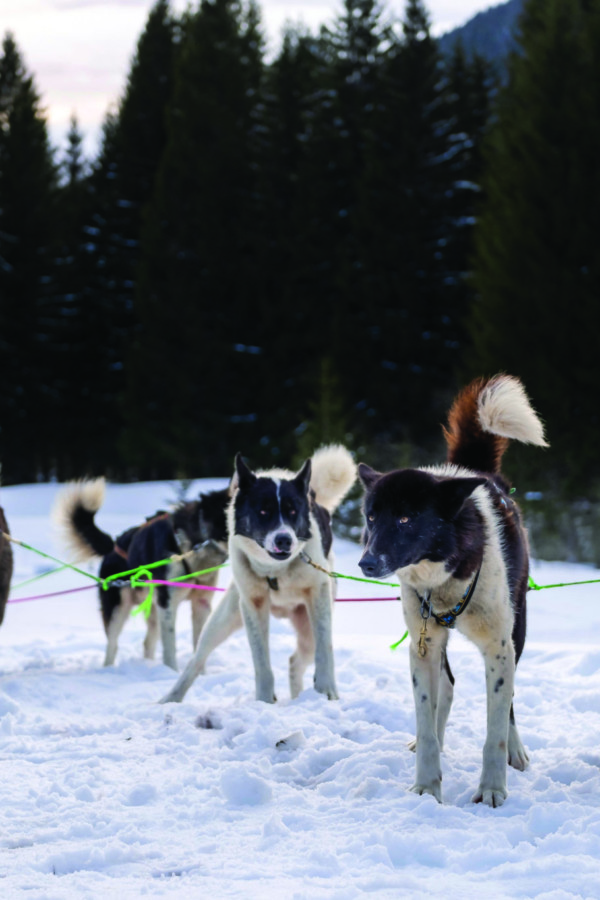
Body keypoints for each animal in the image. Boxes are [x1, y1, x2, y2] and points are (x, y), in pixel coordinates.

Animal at [159, 446, 356, 708]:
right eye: (263, 511)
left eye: (293, 511)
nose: (284, 540)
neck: (276, 571)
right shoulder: (253, 605)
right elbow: (262, 663)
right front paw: (264, 700)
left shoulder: (319, 597)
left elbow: (325, 651)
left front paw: (327, 692)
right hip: (223, 620)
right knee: (197, 659)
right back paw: (170, 698)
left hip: (307, 628)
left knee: (297, 660)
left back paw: (302, 698)